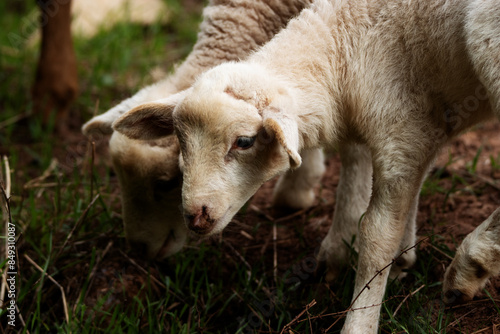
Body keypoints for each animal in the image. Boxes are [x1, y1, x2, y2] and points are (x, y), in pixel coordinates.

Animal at [112, 0, 500, 330]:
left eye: (244, 141)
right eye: (180, 142)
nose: (196, 216)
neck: (342, 43)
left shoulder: (401, 129)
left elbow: (377, 237)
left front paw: (358, 319)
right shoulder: (420, 126)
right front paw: (402, 260)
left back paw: (470, 264)